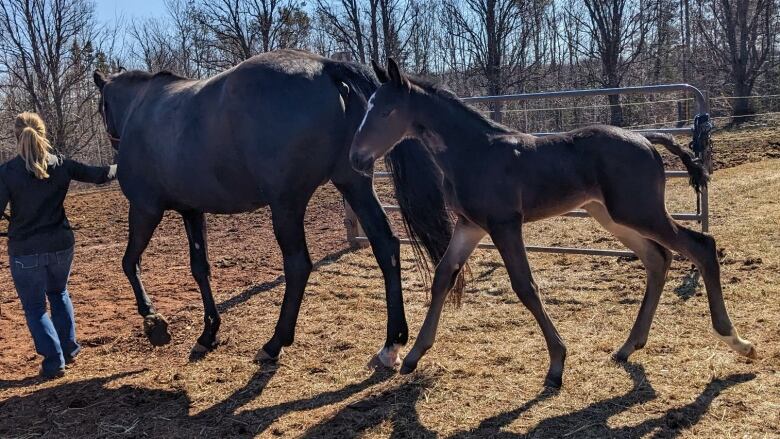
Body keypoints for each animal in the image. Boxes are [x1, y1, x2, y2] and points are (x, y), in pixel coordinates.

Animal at [94, 49, 454, 368]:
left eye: (101, 107)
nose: (112, 143)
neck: (145, 108)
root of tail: (325, 66)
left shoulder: (145, 209)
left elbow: (129, 262)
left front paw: (152, 319)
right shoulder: (192, 212)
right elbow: (200, 269)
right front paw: (208, 334)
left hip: (286, 205)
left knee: (298, 265)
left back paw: (274, 343)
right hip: (354, 184)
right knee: (385, 245)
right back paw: (392, 342)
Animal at [352, 58, 756, 388]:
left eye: (387, 110)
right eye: (367, 107)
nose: (357, 158)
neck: (473, 151)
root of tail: (645, 136)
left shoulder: (504, 224)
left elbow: (525, 286)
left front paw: (557, 365)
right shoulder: (470, 225)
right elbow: (442, 277)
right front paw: (412, 356)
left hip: (638, 211)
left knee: (701, 246)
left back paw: (737, 341)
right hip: (611, 216)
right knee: (658, 258)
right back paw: (628, 346)